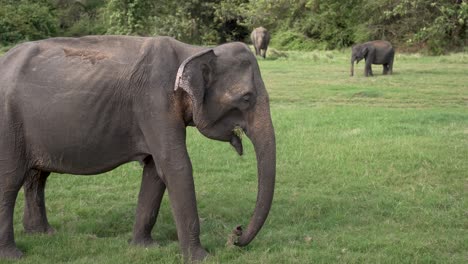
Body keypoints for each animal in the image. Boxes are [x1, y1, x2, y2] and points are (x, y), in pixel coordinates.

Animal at [0, 35, 276, 262]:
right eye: (247, 98)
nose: (236, 235)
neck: (193, 50)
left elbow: (155, 171)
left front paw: (144, 247)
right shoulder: (155, 102)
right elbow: (176, 167)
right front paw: (202, 258)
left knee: (37, 176)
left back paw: (43, 234)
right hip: (8, 122)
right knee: (10, 179)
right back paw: (14, 254)